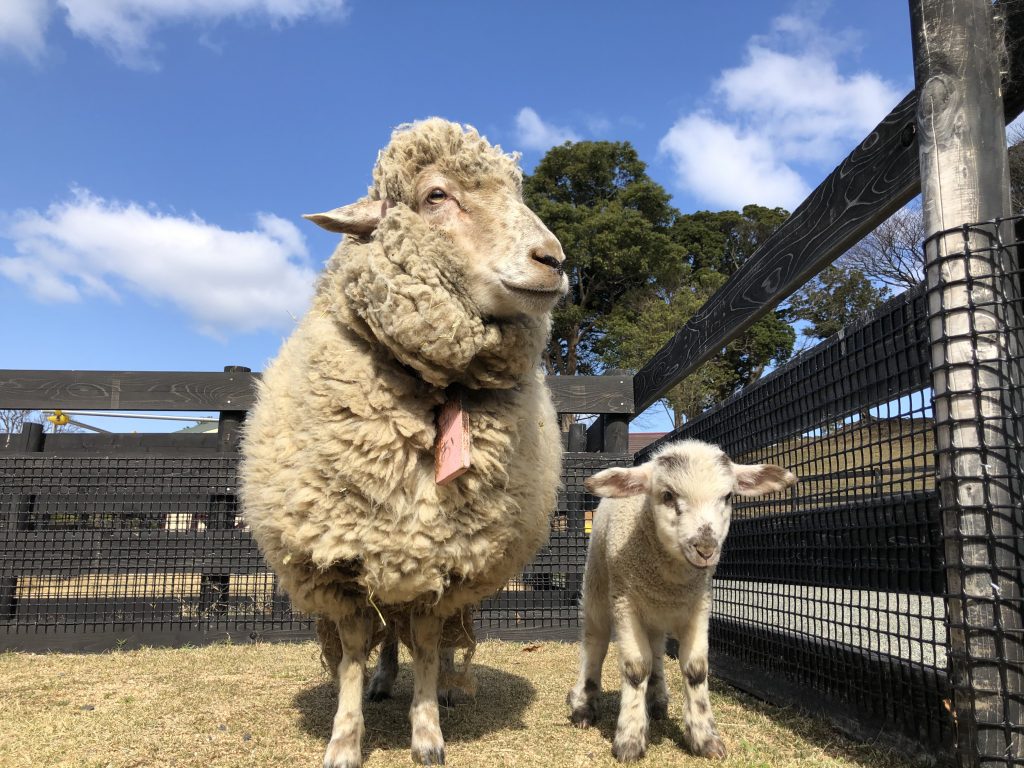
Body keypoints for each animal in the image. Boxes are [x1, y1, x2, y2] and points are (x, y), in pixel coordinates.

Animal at [237, 117, 569, 765]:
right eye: (436, 195)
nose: (553, 259)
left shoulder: (446, 564)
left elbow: (430, 645)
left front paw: (428, 731)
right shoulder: (343, 561)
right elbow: (351, 656)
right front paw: (345, 738)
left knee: (427, 637)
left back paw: (439, 686)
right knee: (384, 636)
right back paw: (383, 680)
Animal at [569, 438, 798, 765]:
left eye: (728, 496)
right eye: (667, 495)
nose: (705, 548)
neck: (669, 580)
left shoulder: (698, 606)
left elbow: (696, 669)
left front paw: (705, 739)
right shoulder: (626, 603)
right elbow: (636, 669)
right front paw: (629, 740)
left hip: (653, 616)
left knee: (655, 651)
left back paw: (657, 701)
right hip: (599, 587)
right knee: (595, 643)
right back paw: (584, 706)